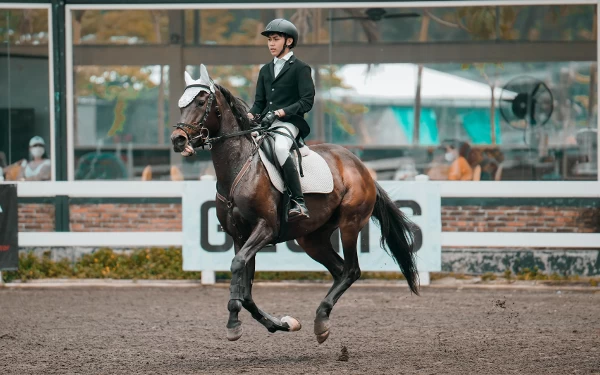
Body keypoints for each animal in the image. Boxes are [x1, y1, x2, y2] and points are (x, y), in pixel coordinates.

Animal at [171, 69, 420, 346]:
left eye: (201, 102)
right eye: (181, 104)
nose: (178, 140)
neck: (239, 168)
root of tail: (359, 165)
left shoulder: (265, 229)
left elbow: (237, 266)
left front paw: (233, 324)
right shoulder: (239, 236)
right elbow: (245, 289)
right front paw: (282, 324)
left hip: (350, 224)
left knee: (352, 270)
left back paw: (321, 319)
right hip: (311, 238)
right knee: (339, 270)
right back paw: (321, 320)